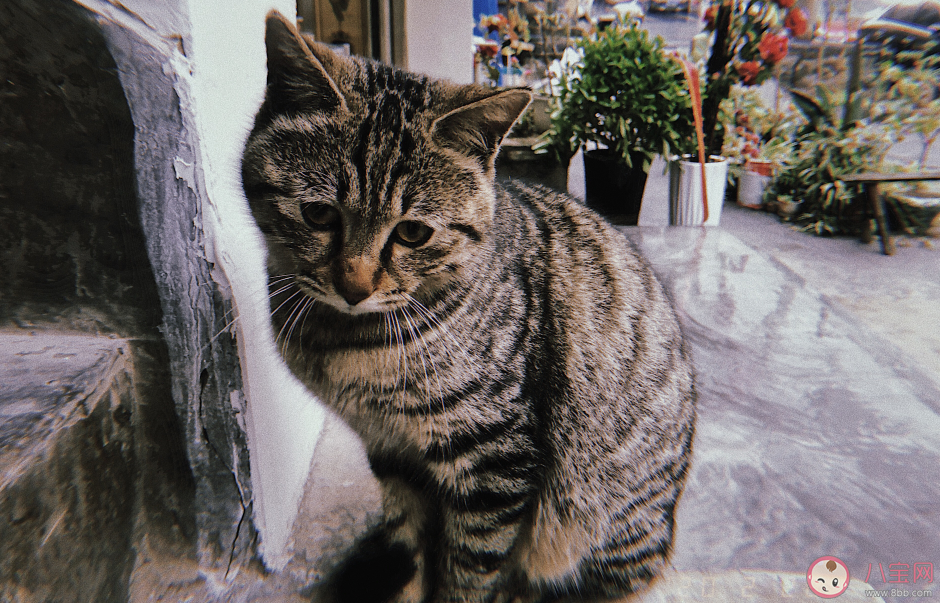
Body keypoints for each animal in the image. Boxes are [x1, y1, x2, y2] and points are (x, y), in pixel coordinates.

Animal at [242, 11, 696, 603]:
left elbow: (470, 572)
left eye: (412, 233)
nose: (354, 286)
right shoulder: (392, 452)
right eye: (318, 214)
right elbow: (410, 544)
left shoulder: (493, 457)